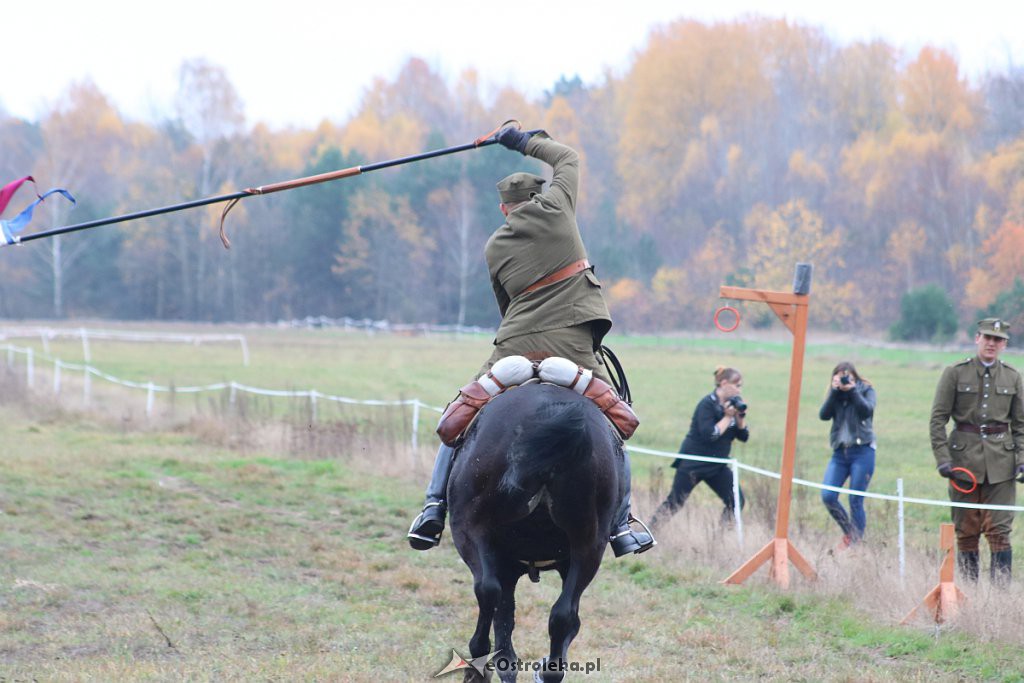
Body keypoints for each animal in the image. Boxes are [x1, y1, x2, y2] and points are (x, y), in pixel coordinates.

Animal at [446, 385, 618, 683]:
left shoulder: (500, 561)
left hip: (470, 530)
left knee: (487, 591)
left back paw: (477, 663)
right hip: (589, 549)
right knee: (562, 615)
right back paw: (548, 671)